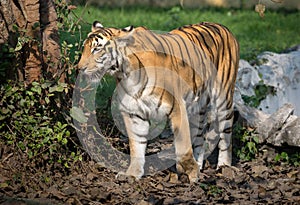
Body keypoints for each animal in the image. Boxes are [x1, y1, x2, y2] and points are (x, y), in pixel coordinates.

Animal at [77, 20, 239, 181]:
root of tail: (222, 26)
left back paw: (224, 167)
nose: (79, 69)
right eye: (84, 48)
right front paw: (132, 174)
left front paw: (190, 172)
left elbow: (183, 144)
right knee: (199, 136)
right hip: (197, 106)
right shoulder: (134, 113)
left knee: (226, 135)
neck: (126, 74)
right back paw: (199, 165)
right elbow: (136, 146)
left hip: (223, 99)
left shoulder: (177, 107)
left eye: (97, 49)